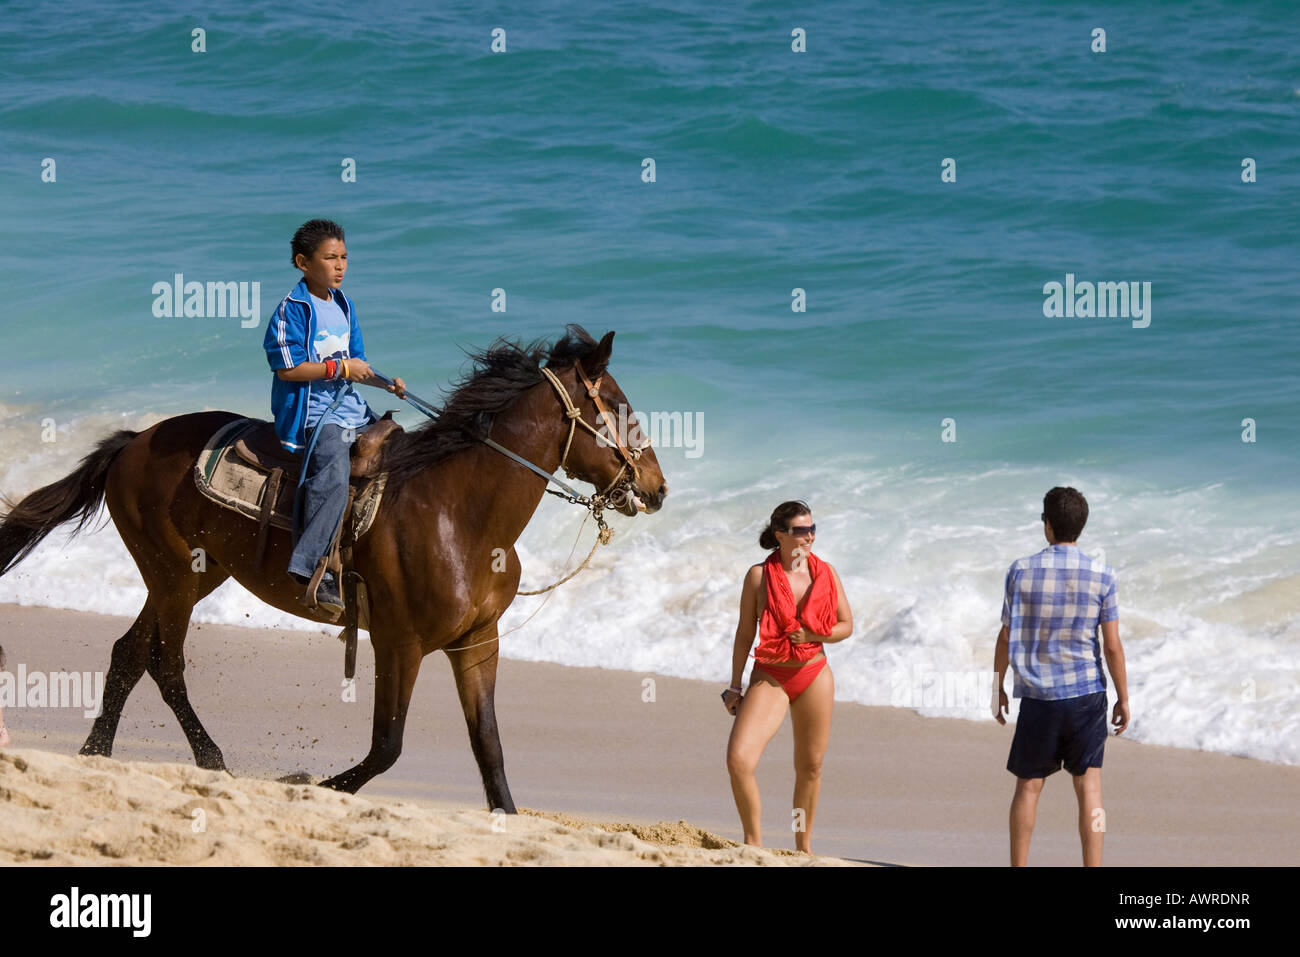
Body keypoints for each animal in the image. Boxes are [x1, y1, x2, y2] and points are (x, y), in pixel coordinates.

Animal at [0, 323, 670, 806]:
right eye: (617, 405)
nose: (657, 487)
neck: (459, 513)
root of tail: (132, 443)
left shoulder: (478, 642)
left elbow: (489, 749)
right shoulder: (398, 642)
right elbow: (387, 748)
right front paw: (308, 785)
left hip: (190, 576)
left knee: (129, 655)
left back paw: (96, 753)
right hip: (173, 577)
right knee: (165, 665)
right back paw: (212, 761)